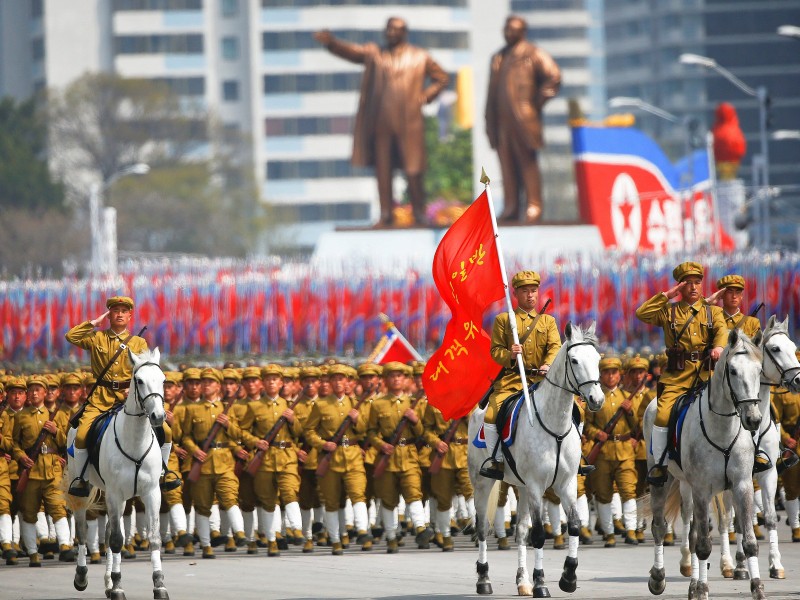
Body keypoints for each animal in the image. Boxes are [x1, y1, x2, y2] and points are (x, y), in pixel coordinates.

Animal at [67, 346, 169, 600]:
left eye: (163, 379)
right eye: (139, 380)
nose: (159, 417)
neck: (135, 440)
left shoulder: (151, 493)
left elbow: (153, 538)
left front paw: (159, 584)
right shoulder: (114, 493)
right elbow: (115, 541)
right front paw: (119, 586)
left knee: (107, 531)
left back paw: (108, 582)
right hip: (85, 489)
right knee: (83, 530)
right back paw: (82, 576)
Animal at [468, 324, 600, 596]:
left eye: (598, 359)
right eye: (574, 360)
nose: (597, 399)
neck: (555, 424)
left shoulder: (566, 483)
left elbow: (573, 525)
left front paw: (568, 577)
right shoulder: (537, 485)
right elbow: (539, 534)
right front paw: (541, 583)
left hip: (522, 487)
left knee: (520, 532)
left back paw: (522, 581)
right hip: (482, 483)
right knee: (482, 528)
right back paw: (484, 579)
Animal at [640, 328, 764, 600]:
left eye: (759, 370)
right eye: (733, 371)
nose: (753, 419)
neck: (723, 429)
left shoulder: (742, 485)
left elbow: (749, 542)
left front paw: (757, 588)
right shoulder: (702, 489)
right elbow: (704, 545)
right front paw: (703, 590)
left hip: (688, 486)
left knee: (693, 531)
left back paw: (692, 584)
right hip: (665, 481)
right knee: (660, 527)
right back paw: (658, 577)